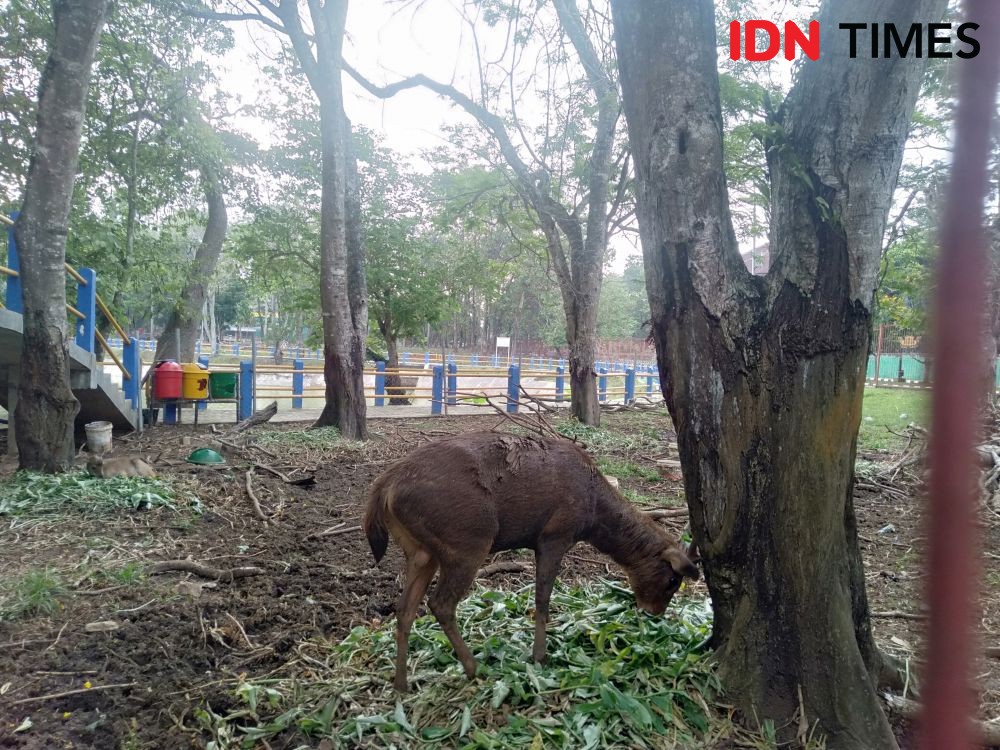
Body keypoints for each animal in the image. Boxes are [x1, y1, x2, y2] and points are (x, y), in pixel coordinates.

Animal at [364, 434, 700, 692]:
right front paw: (540, 656)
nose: (653, 612)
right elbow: (542, 598)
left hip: (421, 550)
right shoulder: (555, 533)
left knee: (405, 608)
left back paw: (401, 683)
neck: (593, 515)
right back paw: (474, 668)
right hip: (468, 539)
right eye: (673, 580)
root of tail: (384, 487)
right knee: (440, 603)